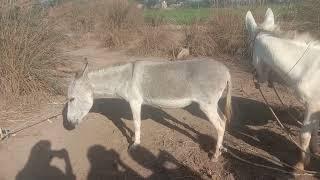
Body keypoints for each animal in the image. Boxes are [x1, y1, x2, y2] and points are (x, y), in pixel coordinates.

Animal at [65, 59, 231, 162]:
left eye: (71, 99)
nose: (69, 125)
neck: (124, 77)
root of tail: (226, 70)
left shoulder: (135, 102)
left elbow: (137, 124)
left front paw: (135, 144)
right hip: (213, 104)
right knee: (223, 121)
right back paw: (221, 148)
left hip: (206, 105)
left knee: (219, 125)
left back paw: (215, 156)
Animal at [245, 7, 320, 169]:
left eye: (250, 47)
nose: (257, 79)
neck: (308, 68)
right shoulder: (315, 107)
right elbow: (314, 130)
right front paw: (315, 151)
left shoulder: (313, 105)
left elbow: (304, 135)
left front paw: (301, 164)